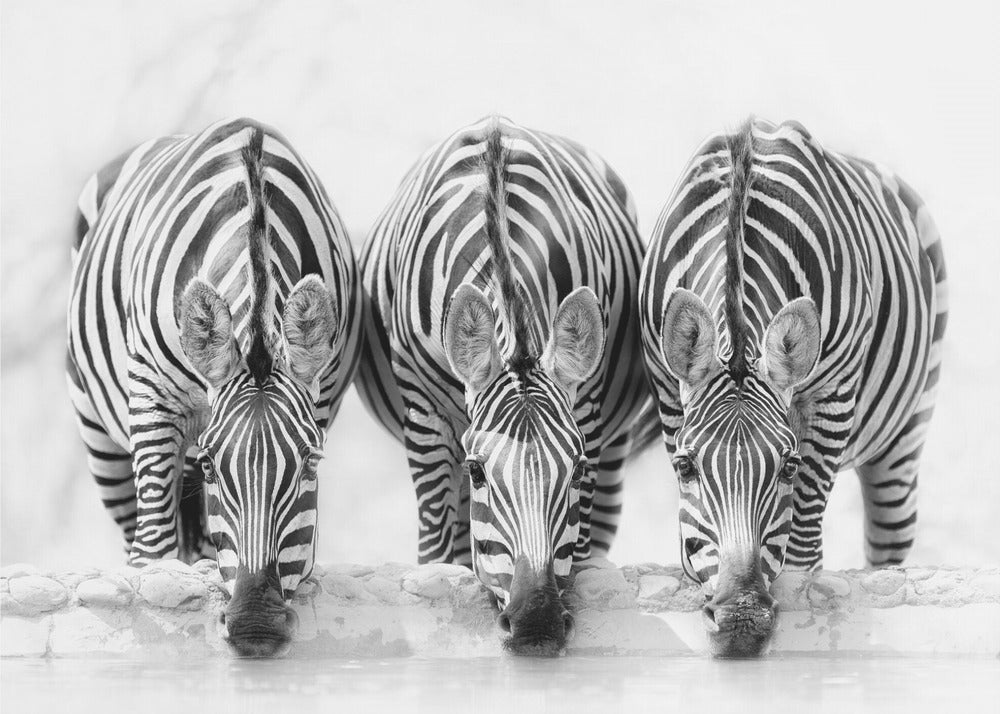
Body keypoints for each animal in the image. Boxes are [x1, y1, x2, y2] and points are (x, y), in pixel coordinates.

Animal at [66, 118, 362, 657]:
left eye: (311, 463)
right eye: (210, 466)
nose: (255, 626)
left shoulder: (322, 397)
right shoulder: (152, 397)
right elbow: (152, 553)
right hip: (99, 435)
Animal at [356, 116, 656, 655]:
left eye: (577, 470)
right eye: (478, 472)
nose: (536, 624)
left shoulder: (589, 412)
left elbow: (578, 548)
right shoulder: (424, 415)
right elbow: (436, 550)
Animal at [639, 117, 947, 657]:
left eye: (787, 466)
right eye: (684, 466)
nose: (740, 621)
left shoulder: (833, 398)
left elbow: (802, 538)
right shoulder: (667, 389)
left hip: (905, 434)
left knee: (888, 543)